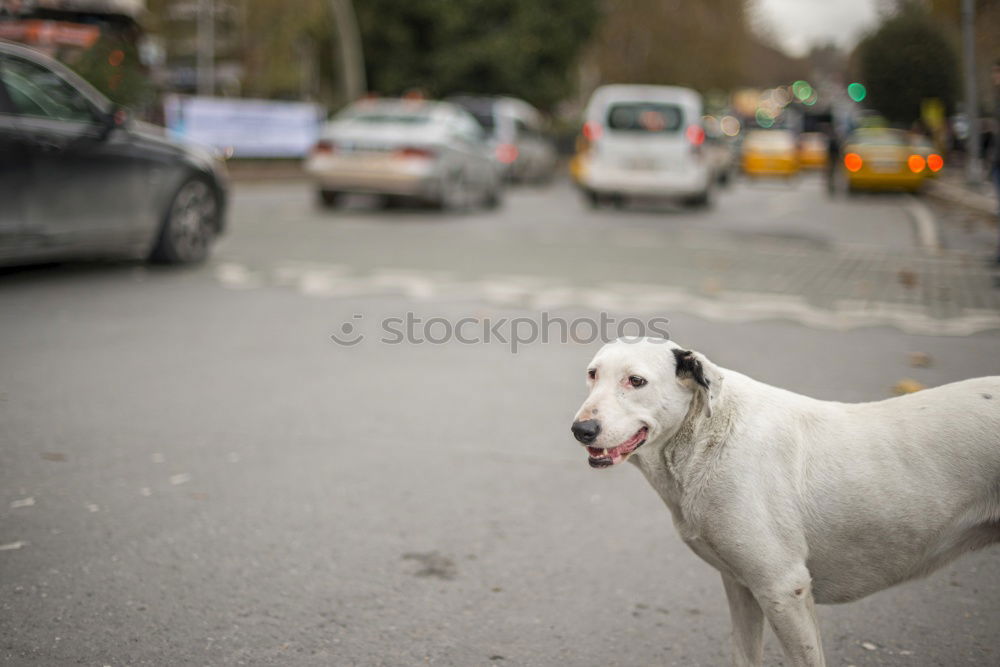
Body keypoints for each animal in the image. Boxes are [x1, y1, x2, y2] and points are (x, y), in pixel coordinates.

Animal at [572, 340, 1000, 667]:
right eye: (592, 374)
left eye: (636, 381)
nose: (581, 429)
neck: (704, 437)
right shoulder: (742, 587)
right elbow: (744, 655)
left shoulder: (783, 590)